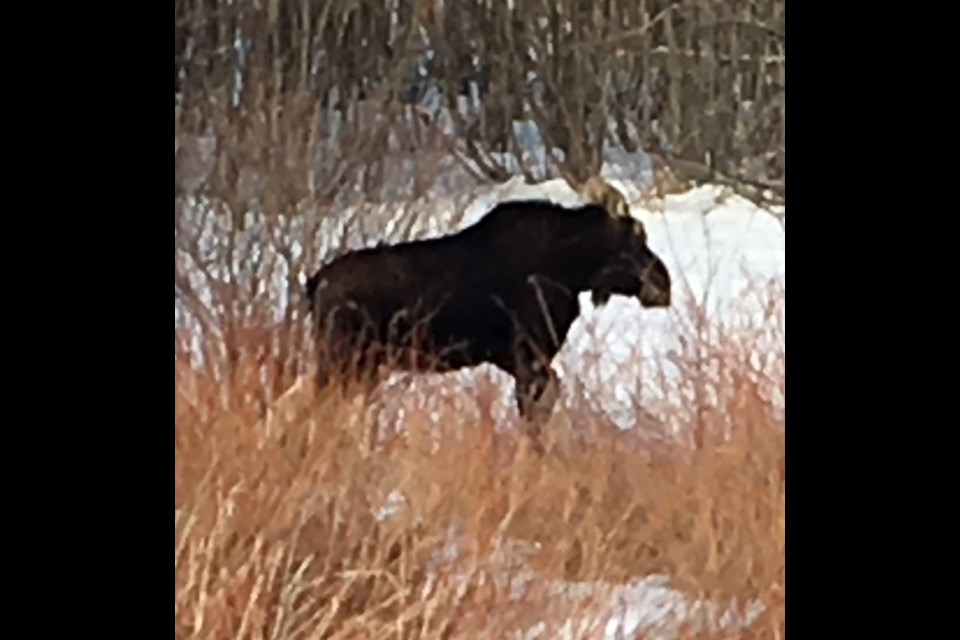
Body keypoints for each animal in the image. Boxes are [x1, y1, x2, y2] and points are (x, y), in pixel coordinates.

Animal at [304, 178, 672, 452]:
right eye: (636, 237)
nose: (663, 282)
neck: (572, 269)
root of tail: (313, 283)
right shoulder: (528, 355)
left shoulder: (513, 358)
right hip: (343, 360)